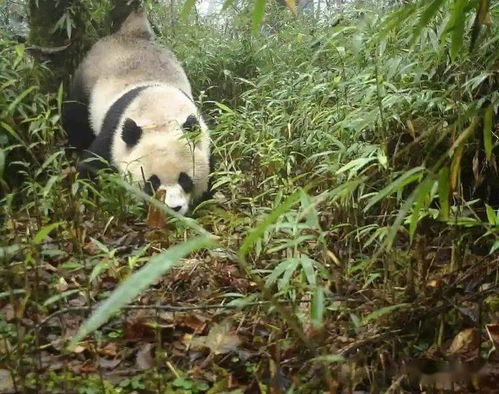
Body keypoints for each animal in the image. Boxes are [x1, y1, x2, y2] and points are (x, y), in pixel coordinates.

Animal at [61, 10, 210, 215]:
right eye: (152, 182)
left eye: (185, 179)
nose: (173, 208)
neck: (159, 112)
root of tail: (131, 33)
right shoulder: (114, 131)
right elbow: (92, 163)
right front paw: (87, 196)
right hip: (87, 80)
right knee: (76, 115)